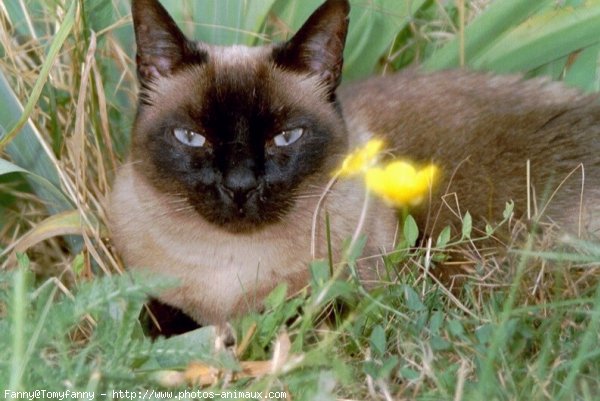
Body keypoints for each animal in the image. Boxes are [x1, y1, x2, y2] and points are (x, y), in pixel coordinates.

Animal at [108, 0, 600, 326]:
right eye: (192, 138)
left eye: (286, 137)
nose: (241, 185)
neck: (229, 270)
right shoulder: (153, 296)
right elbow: (164, 321)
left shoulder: (348, 296)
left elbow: (286, 322)